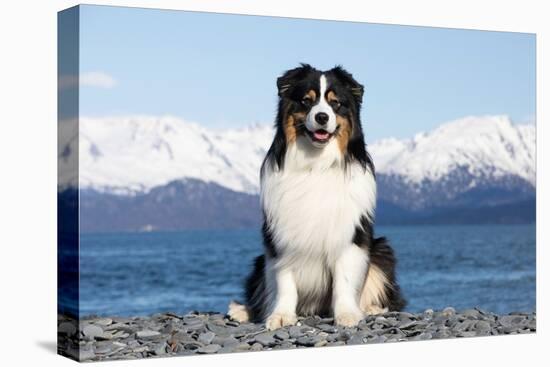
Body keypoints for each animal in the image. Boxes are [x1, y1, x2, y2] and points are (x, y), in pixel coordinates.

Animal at [227, 64, 406, 330]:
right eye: (306, 101)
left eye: (335, 103)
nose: (322, 117)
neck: (316, 164)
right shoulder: (281, 236)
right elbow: (284, 281)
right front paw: (281, 315)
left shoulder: (349, 234)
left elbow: (344, 279)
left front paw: (347, 314)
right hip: (259, 262)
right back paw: (243, 311)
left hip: (381, 251)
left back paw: (372, 308)